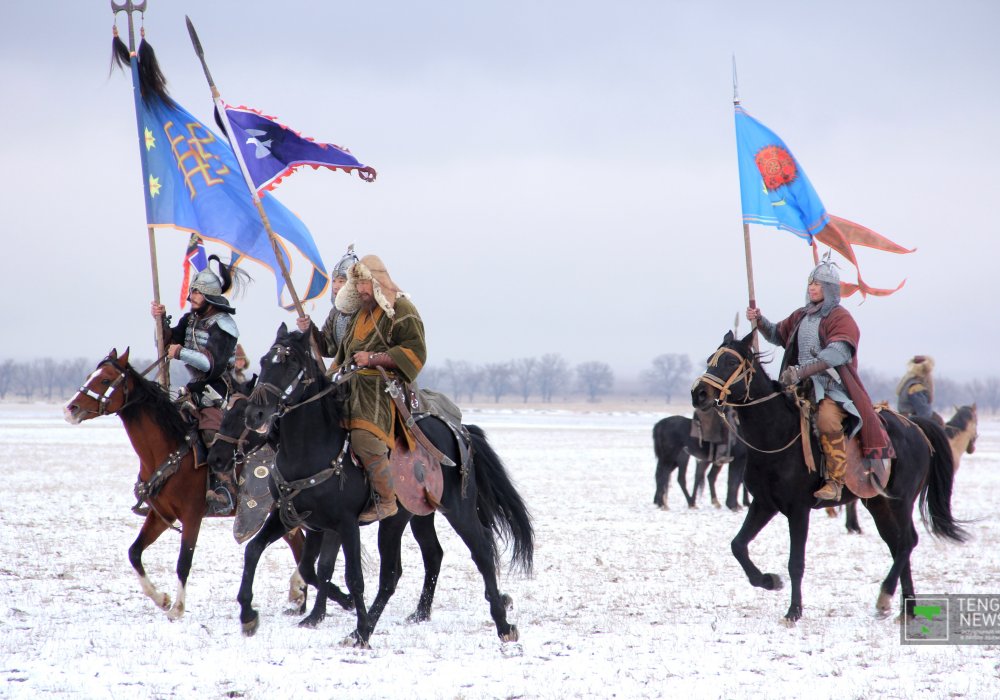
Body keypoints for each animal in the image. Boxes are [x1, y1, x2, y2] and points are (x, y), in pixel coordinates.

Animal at [64, 348, 306, 616]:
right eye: (90, 376)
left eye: (105, 380)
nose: (71, 408)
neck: (168, 449)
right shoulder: (161, 516)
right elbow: (134, 552)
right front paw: (161, 598)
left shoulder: (192, 516)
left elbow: (183, 561)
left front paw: (177, 608)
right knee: (300, 544)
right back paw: (299, 595)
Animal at [238, 326, 536, 648]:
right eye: (264, 361)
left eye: (291, 364)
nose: (254, 414)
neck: (310, 450)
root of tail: (458, 430)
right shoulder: (291, 517)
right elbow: (260, 551)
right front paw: (248, 615)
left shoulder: (345, 524)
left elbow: (353, 577)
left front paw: (352, 619)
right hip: (409, 517)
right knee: (418, 561)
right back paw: (398, 619)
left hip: (455, 511)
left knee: (478, 551)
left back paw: (502, 623)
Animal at [692, 332, 964, 624]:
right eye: (711, 359)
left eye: (731, 361)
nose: (699, 393)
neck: (777, 433)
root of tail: (915, 427)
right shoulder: (764, 504)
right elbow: (738, 545)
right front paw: (769, 581)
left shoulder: (799, 510)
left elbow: (796, 562)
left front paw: (794, 611)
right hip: (879, 504)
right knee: (897, 543)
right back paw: (907, 608)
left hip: (900, 502)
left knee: (906, 542)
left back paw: (886, 596)